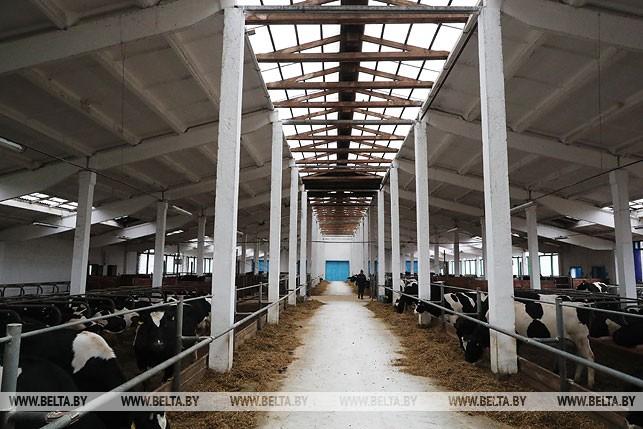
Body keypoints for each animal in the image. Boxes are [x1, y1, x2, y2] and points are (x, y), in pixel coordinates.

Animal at [456, 291, 596, 388]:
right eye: (463, 343)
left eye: (473, 345)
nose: (467, 359)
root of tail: (582, 304)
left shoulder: (516, 337)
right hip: (575, 341)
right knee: (580, 357)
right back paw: (576, 379)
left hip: (581, 338)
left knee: (589, 357)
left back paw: (590, 384)